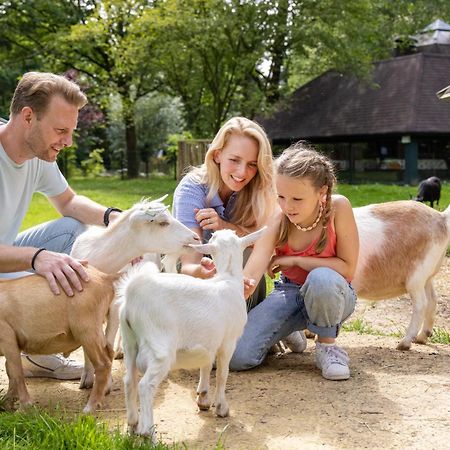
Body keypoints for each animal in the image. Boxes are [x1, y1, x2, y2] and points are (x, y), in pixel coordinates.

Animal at [0, 266, 118, 414]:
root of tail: (105, 278)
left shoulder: (8, 338)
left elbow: (16, 372)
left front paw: (23, 409)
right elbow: (9, 369)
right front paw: (7, 402)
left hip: (86, 329)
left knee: (103, 363)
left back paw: (90, 407)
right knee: (110, 353)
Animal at [70, 198, 199, 390]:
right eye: (163, 223)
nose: (196, 238)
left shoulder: (114, 305)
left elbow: (107, 342)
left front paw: (105, 382)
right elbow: (89, 344)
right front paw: (86, 377)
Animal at [119, 227, 268, 438]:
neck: (228, 278)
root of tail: (132, 293)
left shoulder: (210, 340)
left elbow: (205, 365)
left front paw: (203, 398)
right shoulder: (228, 341)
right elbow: (222, 374)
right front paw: (221, 407)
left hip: (129, 341)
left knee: (129, 381)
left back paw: (132, 422)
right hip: (159, 346)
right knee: (145, 386)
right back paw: (147, 432)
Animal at [354, 200, 448, 352]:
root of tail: (442, 218)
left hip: (416, 277)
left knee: (422, 304)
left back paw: (405, 343)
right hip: (427, 276)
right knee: (433, 300)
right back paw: (422, 337)